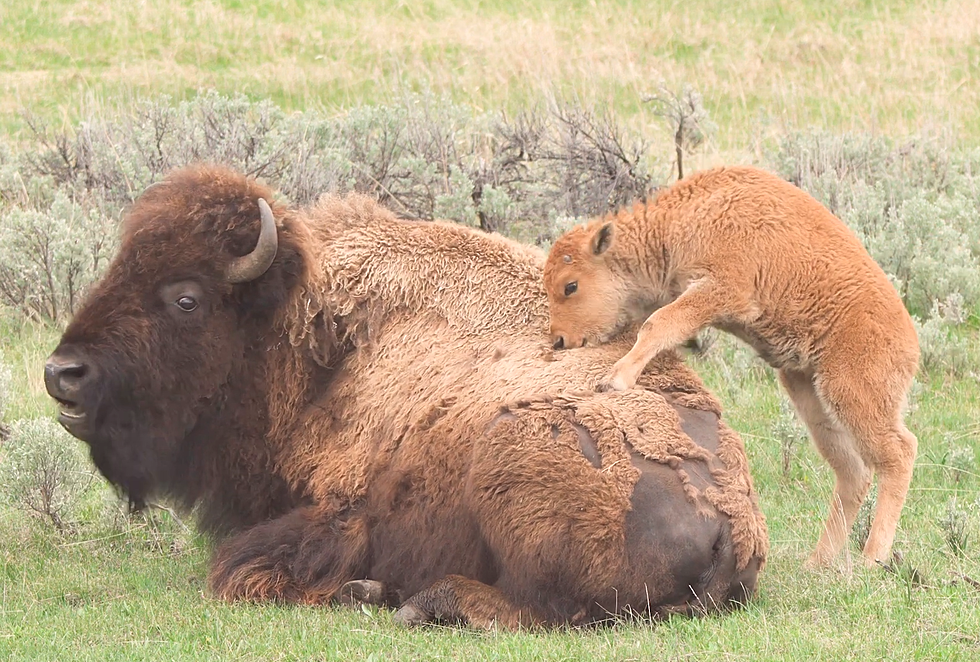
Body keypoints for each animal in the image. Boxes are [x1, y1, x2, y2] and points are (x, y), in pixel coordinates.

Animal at [46, 165, 764, 628]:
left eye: (187, 298)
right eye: (121, 266)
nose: (63, 373)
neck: (313, 334)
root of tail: (733, 527)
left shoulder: (334, 515)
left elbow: (242, 565)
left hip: (510, 467)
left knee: (540, 612)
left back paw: (411, 601)